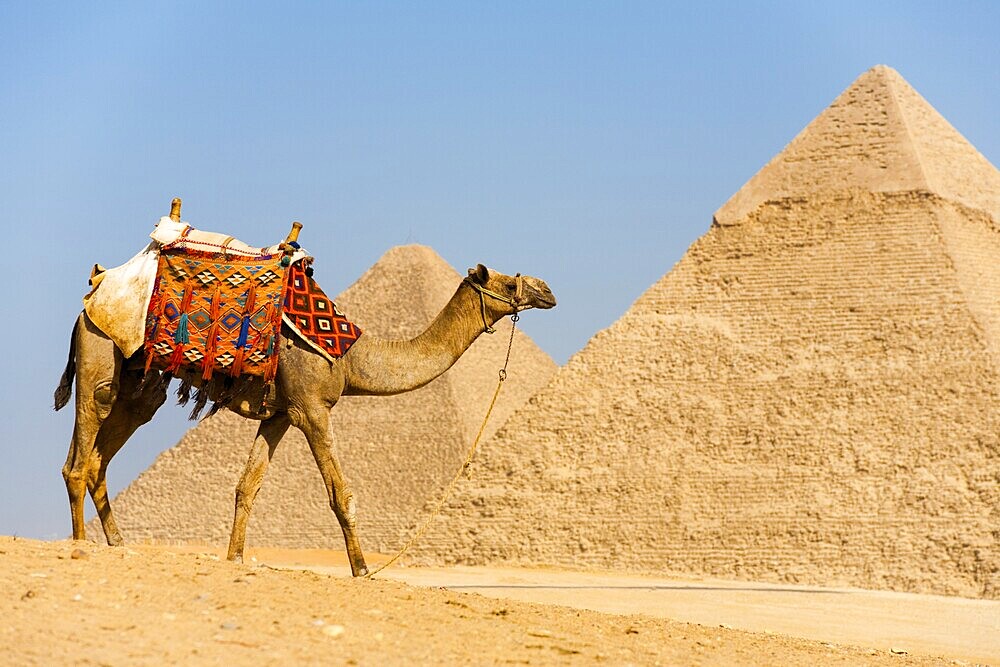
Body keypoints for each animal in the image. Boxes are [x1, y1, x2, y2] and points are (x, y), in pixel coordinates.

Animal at [52, 252, 556, 580]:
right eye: (508, 283)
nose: (547, 290)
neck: (353, 358)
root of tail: (89, 299)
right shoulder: (312, 408)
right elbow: (341, 494)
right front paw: (362, 568)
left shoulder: (279, 414)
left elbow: (247, 487)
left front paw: (234, 559)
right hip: (100, 356)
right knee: (78, 458)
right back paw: (80, 544)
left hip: (141, 389)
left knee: (99, 459)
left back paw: (118, 544)